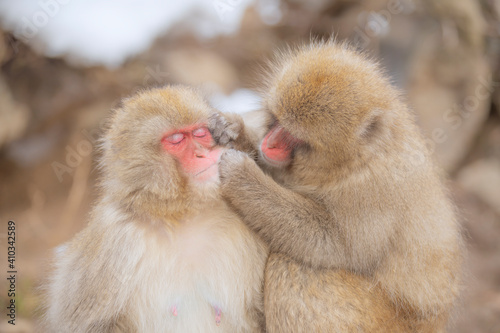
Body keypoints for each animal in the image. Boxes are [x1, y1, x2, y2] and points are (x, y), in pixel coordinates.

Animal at [43, 86, 270, 332]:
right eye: (176, 140)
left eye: (200, 133)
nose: (201, 153)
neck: (185, 216)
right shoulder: (115, 237)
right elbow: (90, 325)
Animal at [209, 42, 462, 332]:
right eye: (277, 121)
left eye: (294, 136)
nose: (269, 143)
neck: (353, 159)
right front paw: (233, 130)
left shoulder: (374, 189)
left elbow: (336, 244)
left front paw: (243, 176)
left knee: (297, 268)